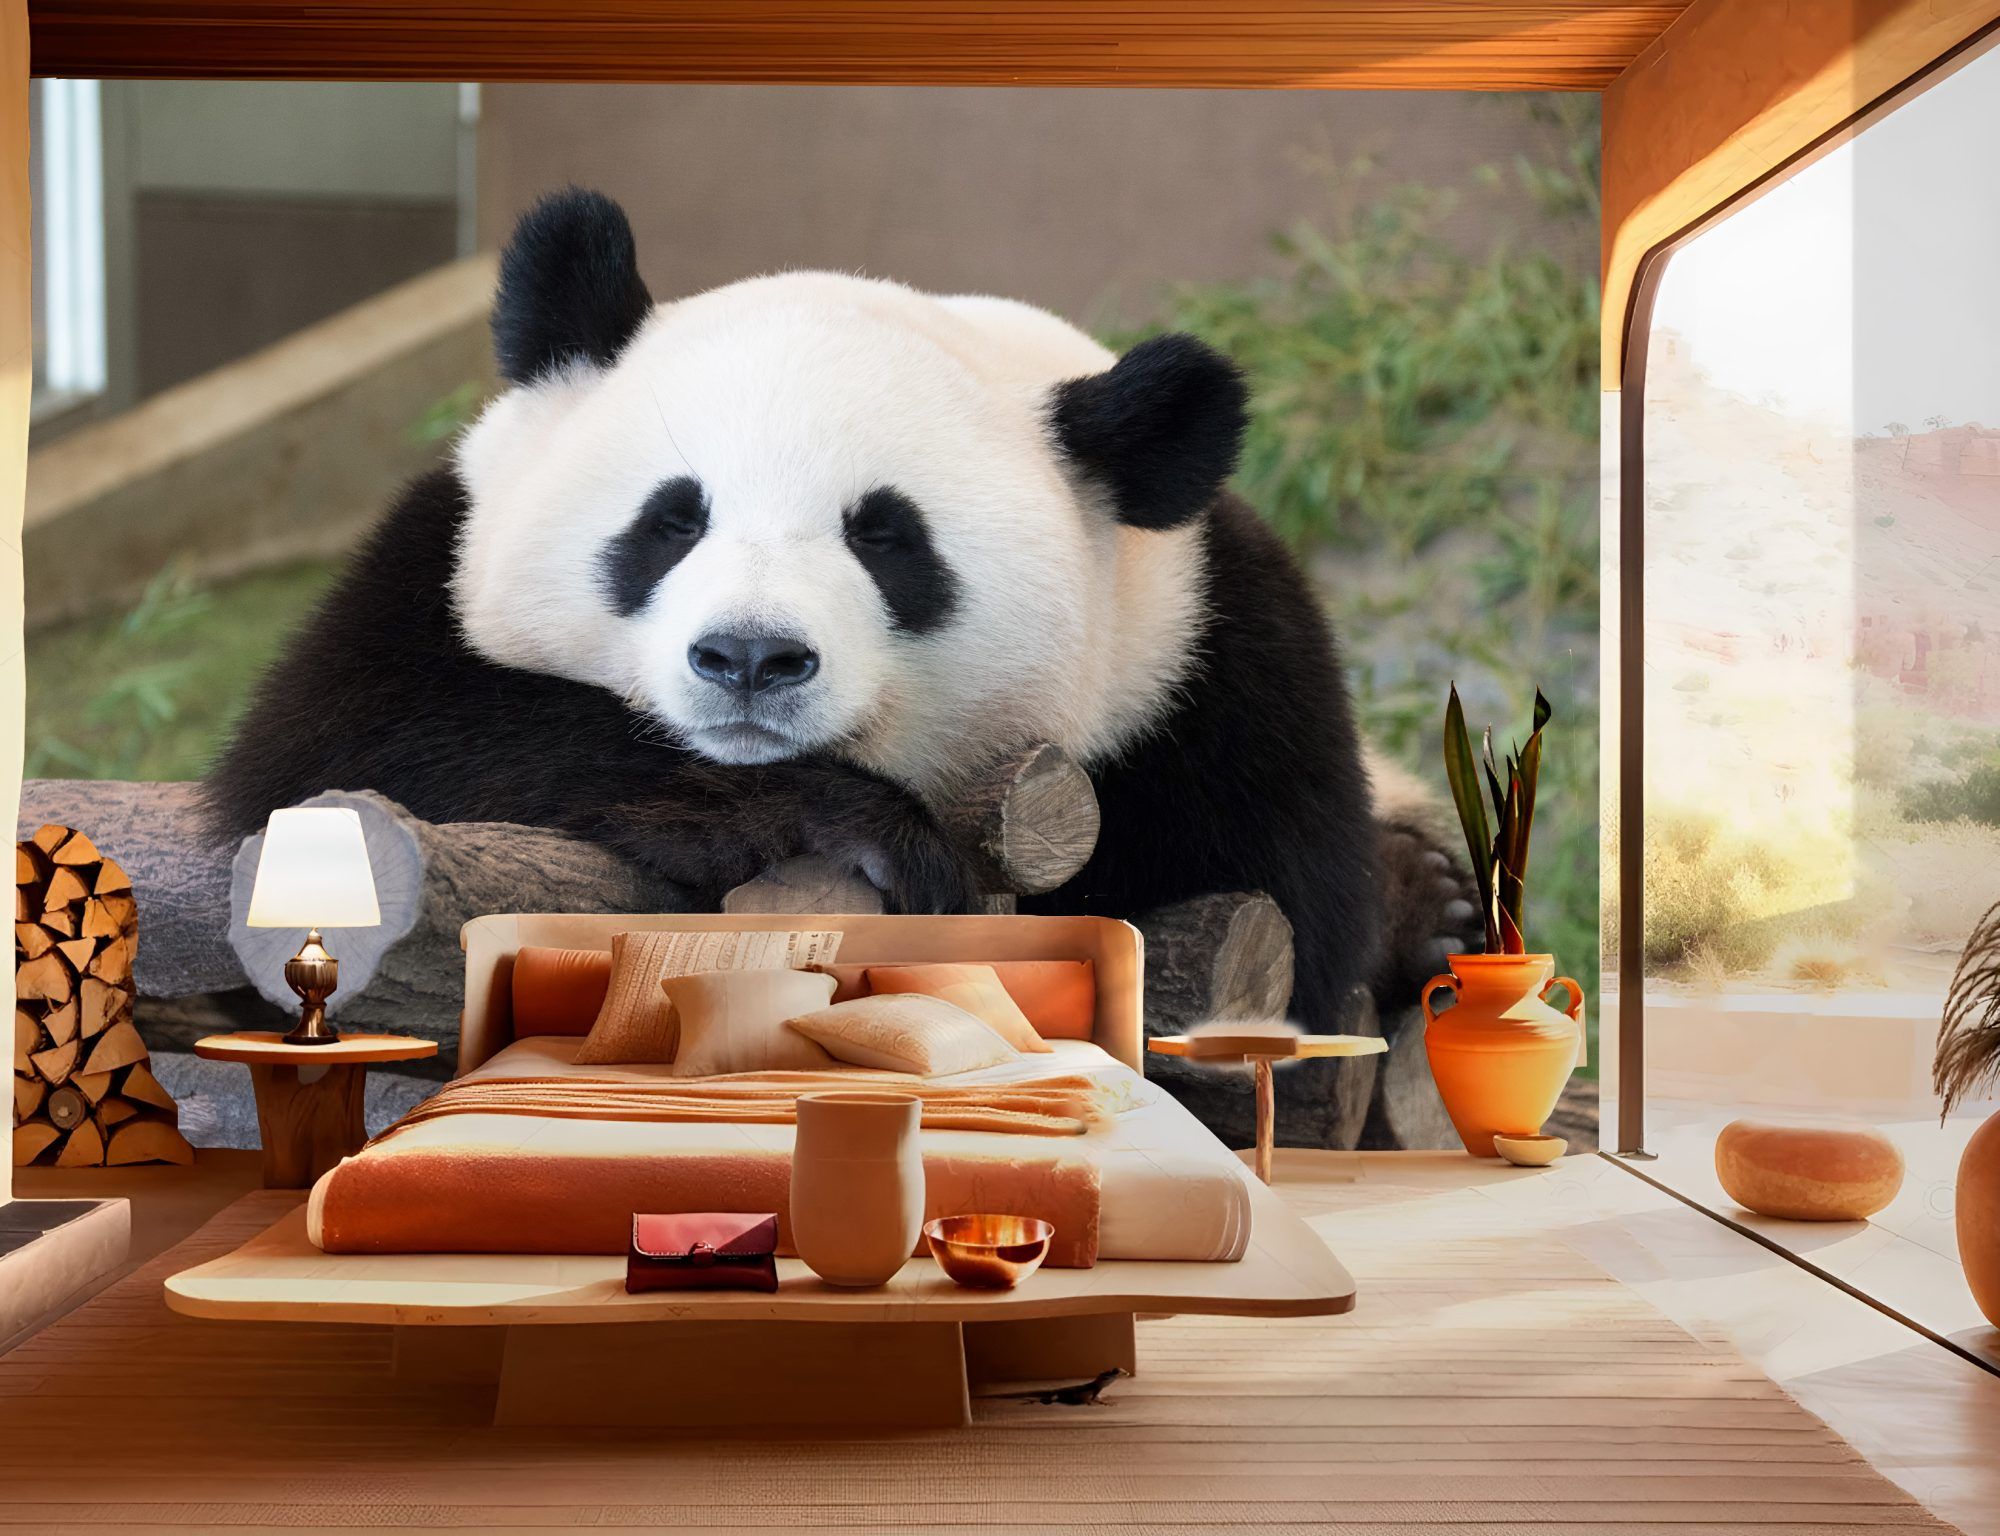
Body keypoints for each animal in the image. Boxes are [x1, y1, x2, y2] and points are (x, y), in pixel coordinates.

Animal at [206, 188, 1479, 1050]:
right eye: (671, 519)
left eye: (886, 538)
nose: (749, 658)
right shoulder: (431, 560)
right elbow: (352, 753)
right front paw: (832, 827)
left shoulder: (1214, 662)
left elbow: (1281, 927)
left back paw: (1434, 906)